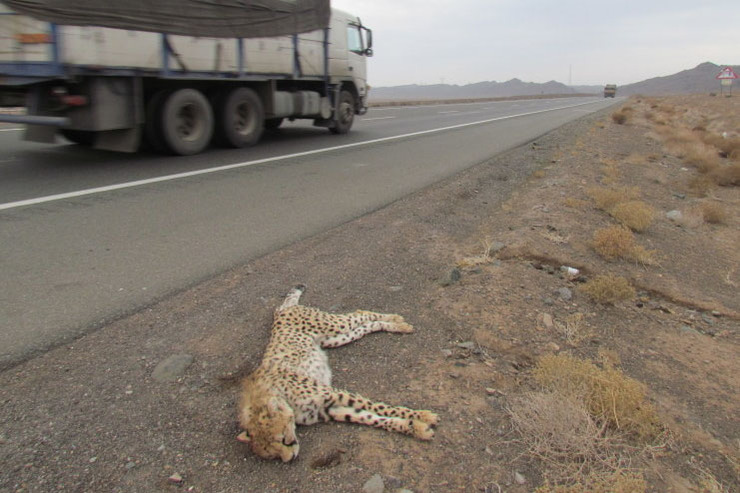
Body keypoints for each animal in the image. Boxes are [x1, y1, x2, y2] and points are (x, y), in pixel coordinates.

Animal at [237, 284, 436, 462]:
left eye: (282, 439)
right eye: (272, 455)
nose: (290, 458)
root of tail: (281, 311)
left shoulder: (334, 394)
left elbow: (380, 407)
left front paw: (422, 416)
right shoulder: (329, 409)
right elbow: (371, 418)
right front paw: (416, 428)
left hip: (333, 326)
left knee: (360, 314)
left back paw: (397, 320)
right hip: (334, 339)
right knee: (364, 326)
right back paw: (397, 325)